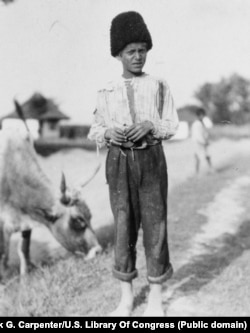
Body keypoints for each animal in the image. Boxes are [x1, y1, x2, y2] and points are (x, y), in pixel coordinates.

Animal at [0, 128, 101, 276]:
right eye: (77, 220)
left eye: (89, 216)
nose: (98, 250)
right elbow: (3, 257)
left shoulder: (27, 222)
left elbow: (24, 249)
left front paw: (25, 276)